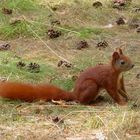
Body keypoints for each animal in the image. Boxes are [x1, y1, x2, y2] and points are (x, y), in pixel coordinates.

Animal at [0, 49, 133, 105]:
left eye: (129, 57)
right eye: (122, 62)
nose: (133, 65)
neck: (117, 72)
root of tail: (75, 94)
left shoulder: (120, 81)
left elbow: (121, 90)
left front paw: (128, 98)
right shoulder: (109, 80)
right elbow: (114, 93)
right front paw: (122, 103)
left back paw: (98, 99)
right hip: (91, 86)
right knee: (81, 101)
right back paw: (91, 103)